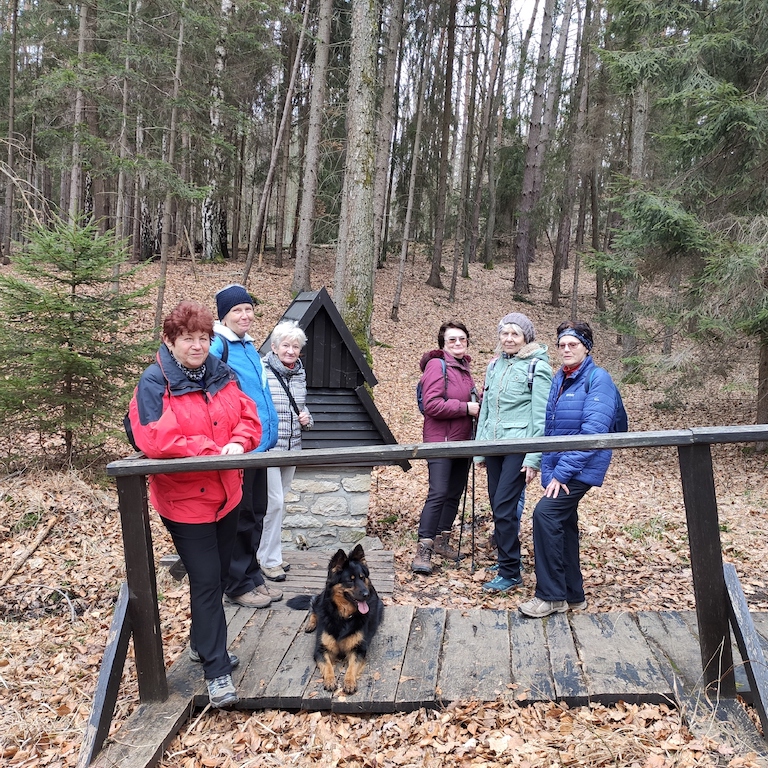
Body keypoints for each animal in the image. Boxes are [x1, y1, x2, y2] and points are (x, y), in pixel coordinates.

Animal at [284, 544, 384, 692]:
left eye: (362, 577)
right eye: (350, 580)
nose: (367, 594)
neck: (343, 617)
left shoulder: (359, 649)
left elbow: (352, 666)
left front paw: (349, 681)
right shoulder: (320, 649)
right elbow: (327, 665)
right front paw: (330, 680)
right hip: (321, 601)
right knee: (314, 604)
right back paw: (311, 624)